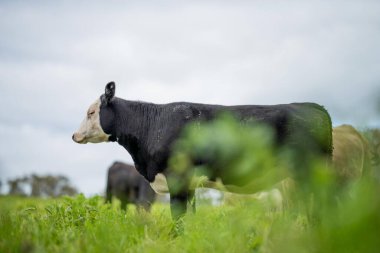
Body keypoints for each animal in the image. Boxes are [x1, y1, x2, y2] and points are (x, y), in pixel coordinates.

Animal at [73, 81, 332, 219]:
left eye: (91, 112)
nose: (75, 135)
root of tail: (313, 106)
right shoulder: (189, 185)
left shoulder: (177, 179)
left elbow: (178, 217)